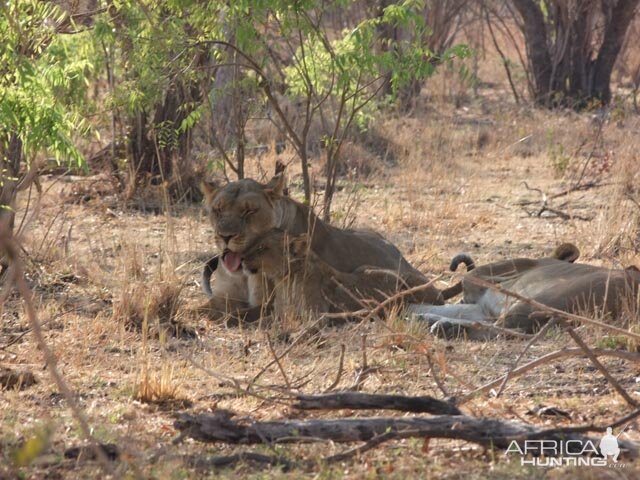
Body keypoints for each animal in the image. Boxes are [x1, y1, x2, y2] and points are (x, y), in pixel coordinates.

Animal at [240, 229, 440, 322]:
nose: (241, 258)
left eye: (262, 248)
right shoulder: (280, 313)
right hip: (364, 267)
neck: (285, 280)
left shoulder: (316, 317)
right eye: (256, 242)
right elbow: (263, 320)